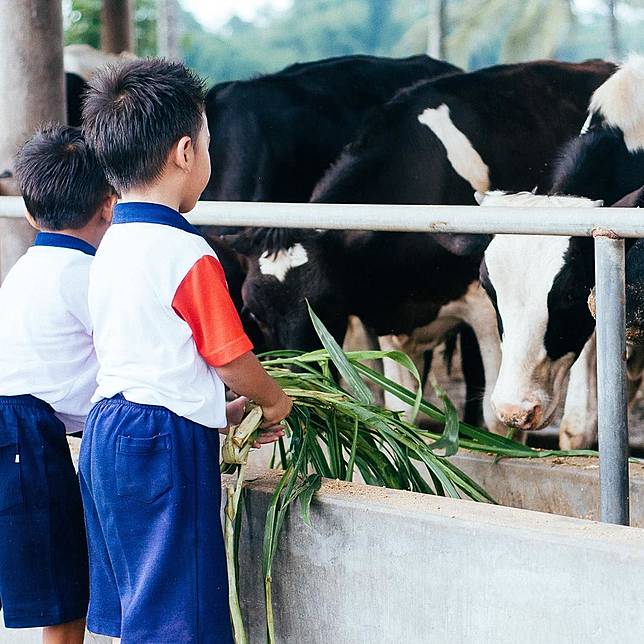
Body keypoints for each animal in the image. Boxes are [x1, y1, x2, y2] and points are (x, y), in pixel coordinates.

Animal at [231, 59, 612, 432]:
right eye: (253, 313)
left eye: (326, 306)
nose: (300, 384)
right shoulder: (388, 319)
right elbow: (399, 409)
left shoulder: (485, 309)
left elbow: (495, 417)